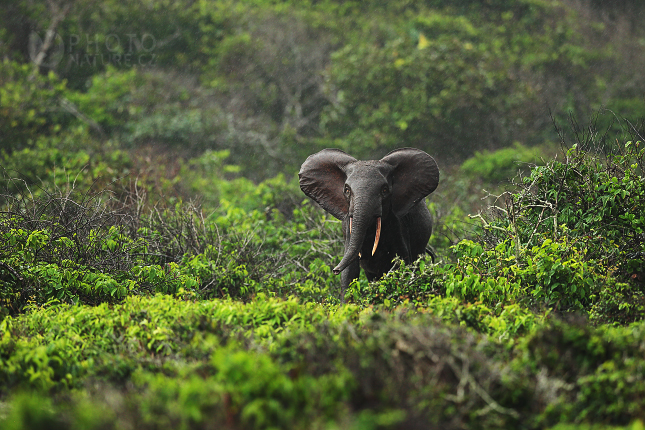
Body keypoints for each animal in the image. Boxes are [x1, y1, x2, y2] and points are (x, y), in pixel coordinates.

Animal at [296, 148, 438, 298]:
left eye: (384, 190)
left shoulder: (398, 224)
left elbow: (402, 262)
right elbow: (349, 272)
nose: (334, 270)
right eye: (347, 190)